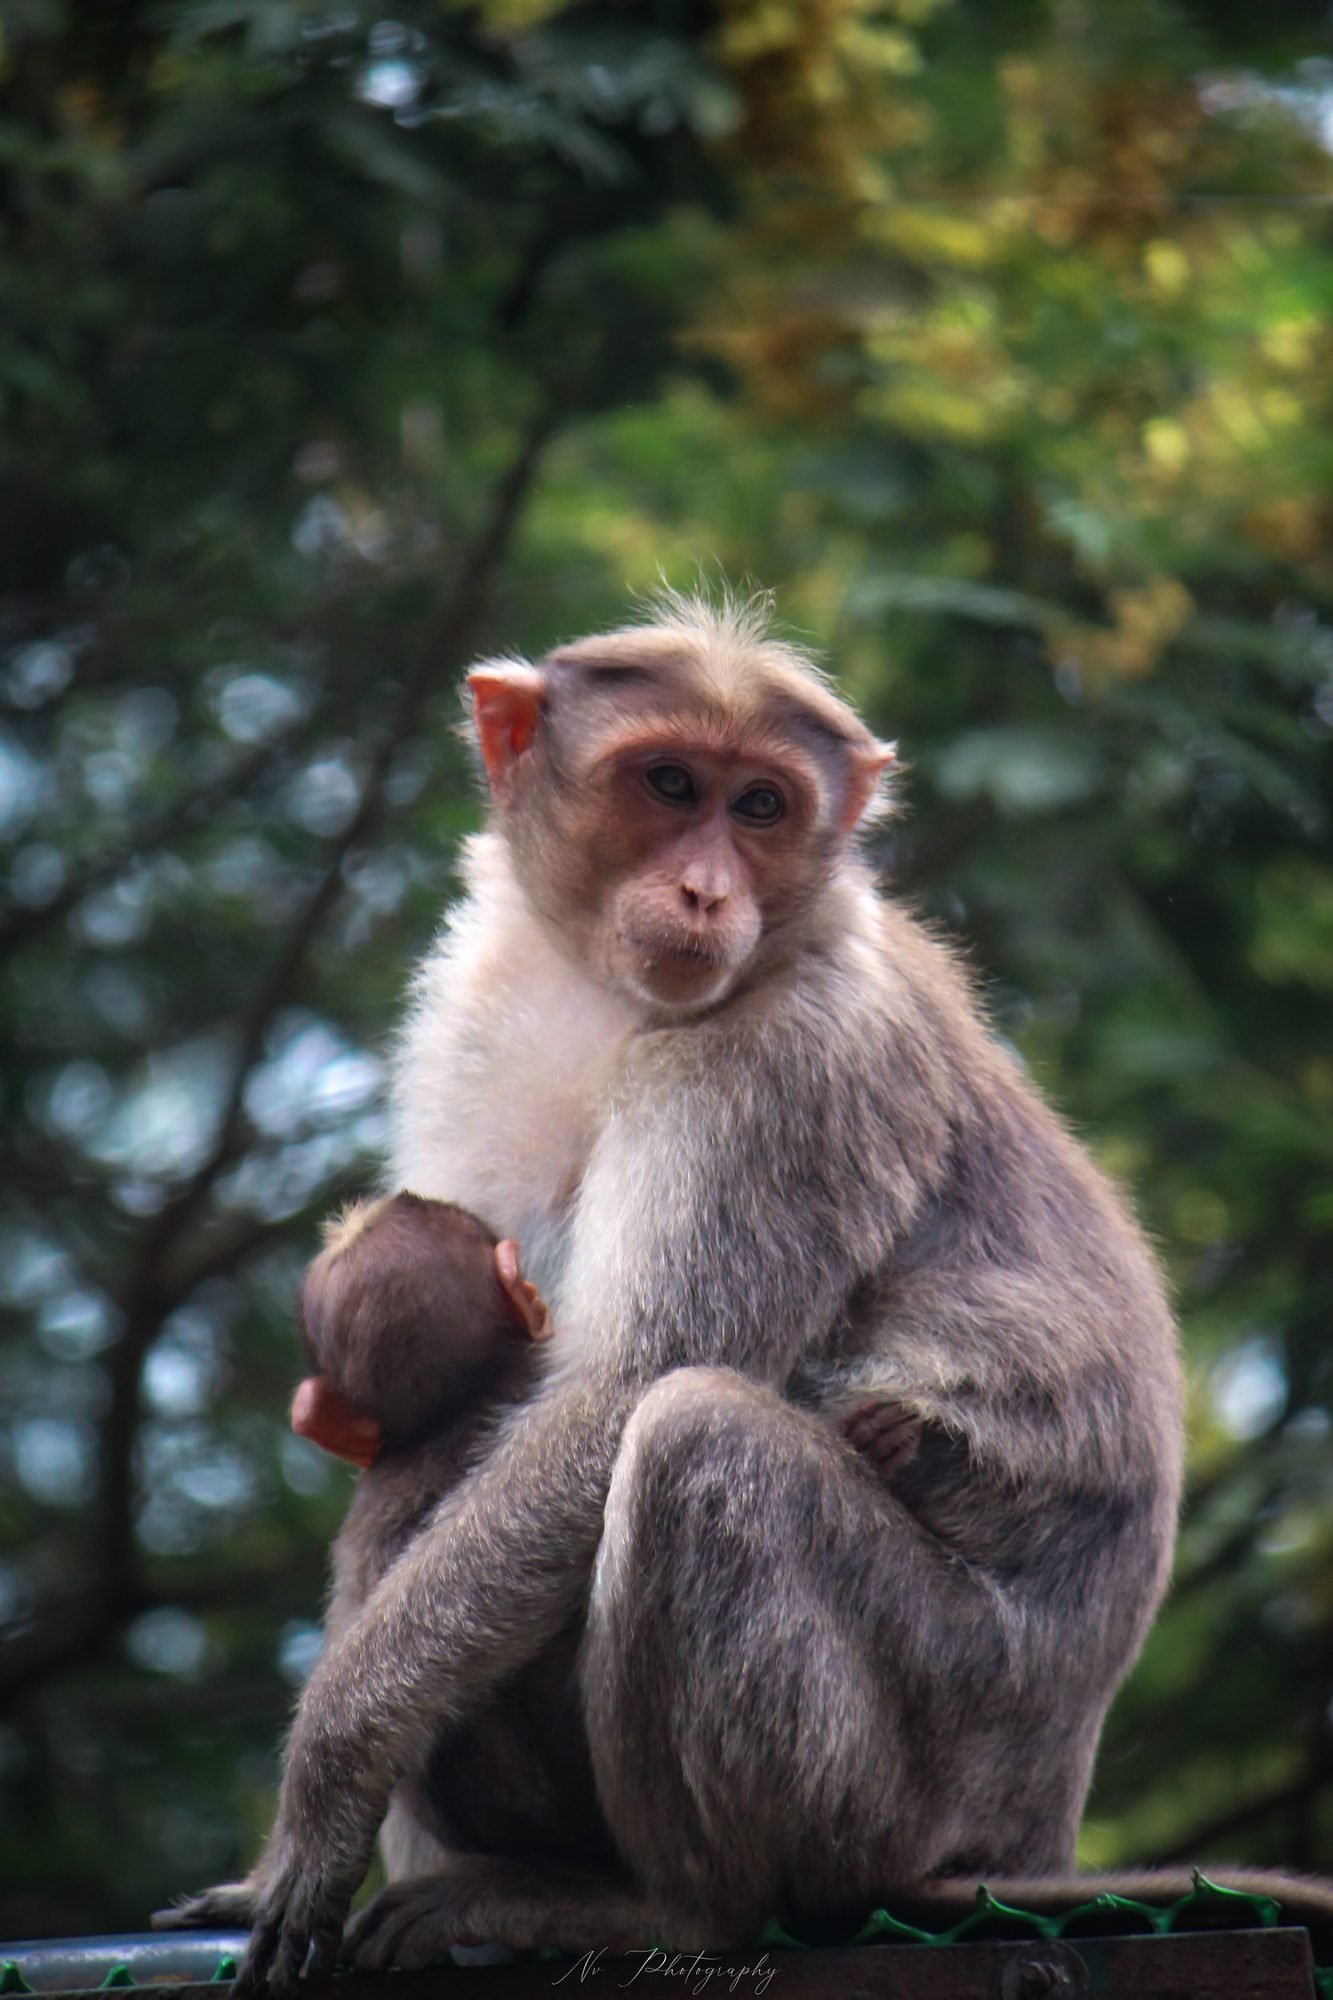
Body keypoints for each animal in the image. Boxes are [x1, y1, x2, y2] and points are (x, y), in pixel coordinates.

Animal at [161, 590, 1194, 1988]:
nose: (706, 887)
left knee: (697, 1439)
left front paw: (324, 1781)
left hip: (930, 1748)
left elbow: (616, 1395)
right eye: (667, 784)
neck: (615, 995)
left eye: (759, 806)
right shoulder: (480, 1003)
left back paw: (669, 1909)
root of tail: (1040, 1822)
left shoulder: (781, 1069)